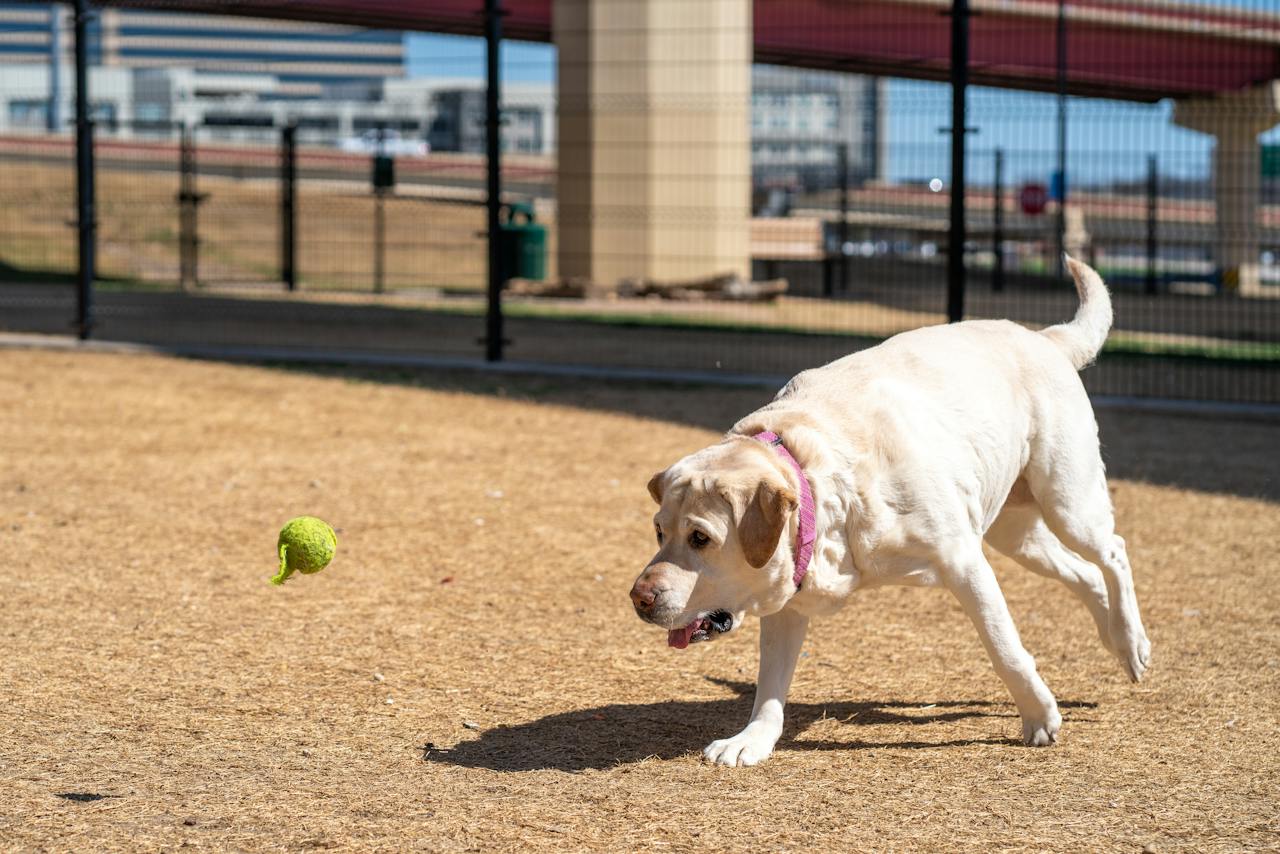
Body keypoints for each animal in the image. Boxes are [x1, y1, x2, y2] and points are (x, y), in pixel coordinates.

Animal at [634, 258, 1157, 768]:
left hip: (1068, 502)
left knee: (1113, 552)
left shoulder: (963, 562)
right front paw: (751, 742)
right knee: (1085, 574)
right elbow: (769, 688)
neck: (821, 480)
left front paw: (1039, 717)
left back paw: (1132, 643)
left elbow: (1003, 647)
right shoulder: (789, 597)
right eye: (659, 532)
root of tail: (1044, 338)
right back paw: (1114, 638)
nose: (639, 598)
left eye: (701, 538)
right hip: (1017, 534)